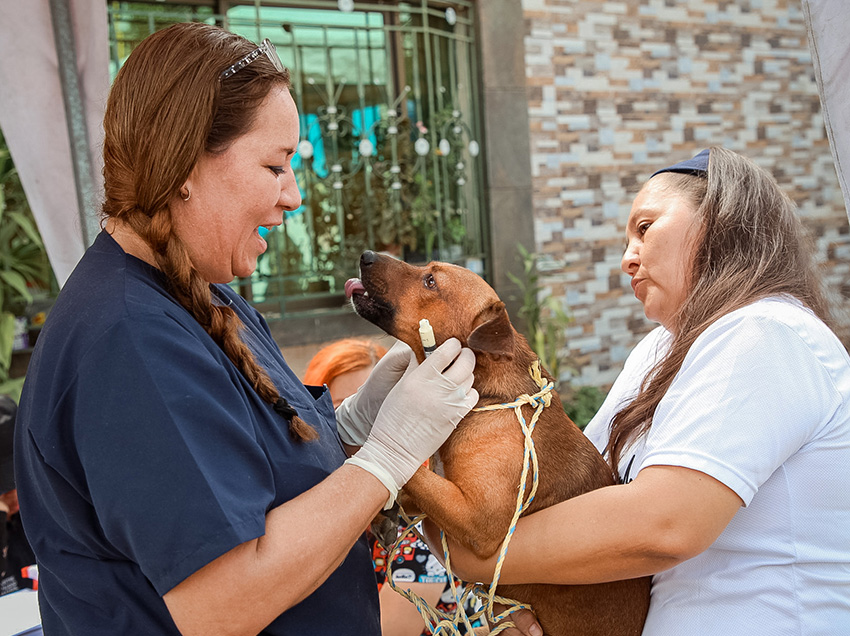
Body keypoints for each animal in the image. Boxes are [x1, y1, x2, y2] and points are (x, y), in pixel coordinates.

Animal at [346, 251, 648, 632]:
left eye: (431, 281)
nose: (365, 255)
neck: (486, 397)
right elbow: (407, 481)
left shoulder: (477, 519)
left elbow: (407, 469)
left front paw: (357, 448)